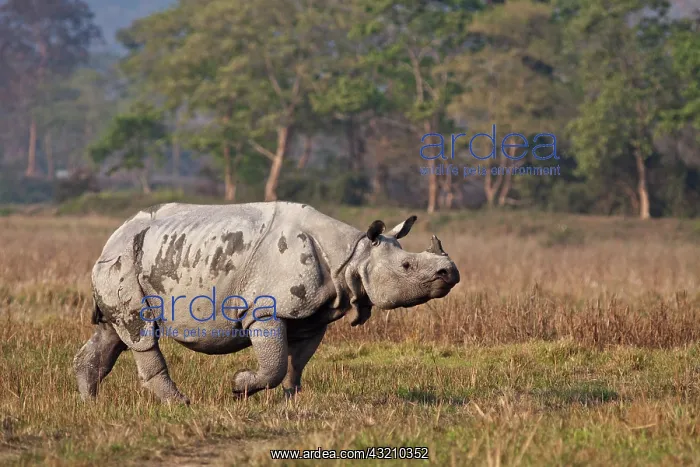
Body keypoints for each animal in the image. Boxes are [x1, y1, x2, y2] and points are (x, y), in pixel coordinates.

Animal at [74, 201, 460, 404]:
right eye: (407, 267)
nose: (450, 272)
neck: (354, 254)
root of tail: (111, 238)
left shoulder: (315, 313)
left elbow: (296, 361)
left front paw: (291, 400)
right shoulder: (263, 309)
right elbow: (273, 363)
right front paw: (238, 386)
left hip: (131, 260)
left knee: (113, 332)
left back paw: (90, 403)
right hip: (123, 261)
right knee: (141, 333)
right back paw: (179, 404)